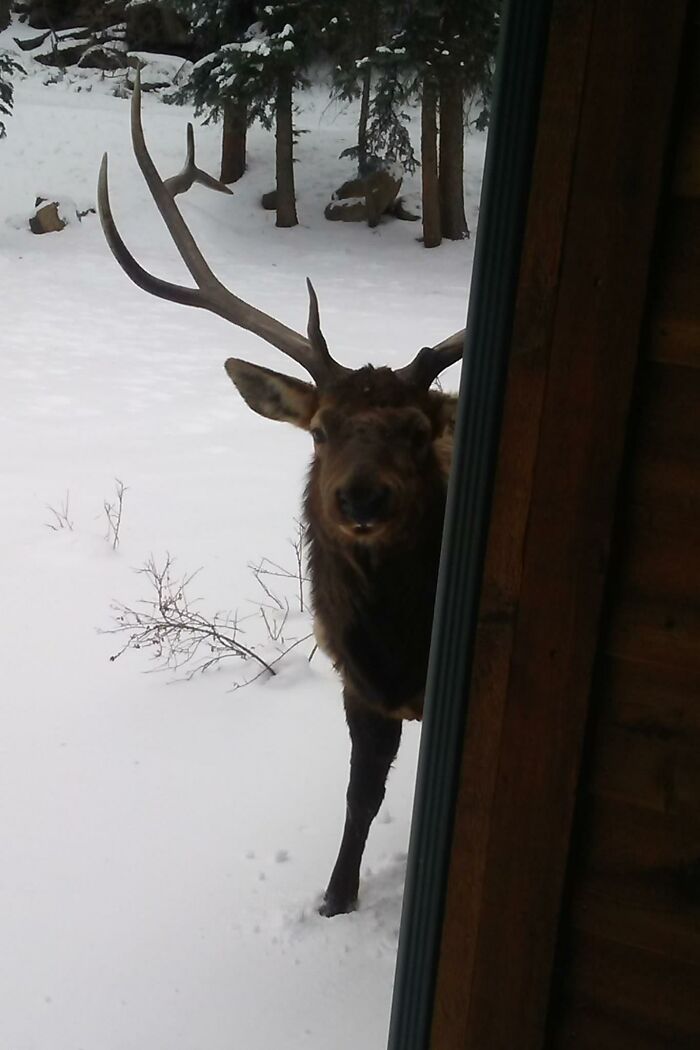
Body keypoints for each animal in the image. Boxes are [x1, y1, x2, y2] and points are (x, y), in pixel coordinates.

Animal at [97, 75, 465, 917]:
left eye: (417, 430)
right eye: (321, 429)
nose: (361, 500)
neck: (401, 642)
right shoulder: (358, 685)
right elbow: (360, 797)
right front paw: (335, 898)